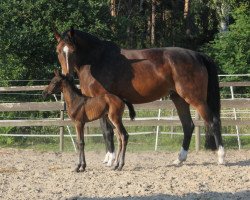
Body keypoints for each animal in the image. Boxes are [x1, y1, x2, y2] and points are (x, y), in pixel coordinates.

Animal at [53, 27, 226, 166]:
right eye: (58, 51)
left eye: (73, 50)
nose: (67, 76)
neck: (97, 59)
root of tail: (197, 55)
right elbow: (105, 131)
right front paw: (108, 158)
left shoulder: (101, 99)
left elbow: (107, 131)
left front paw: (110, 159)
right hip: (179, 98)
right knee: (188, 125)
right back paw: (179, 159)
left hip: (195, 98)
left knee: (213, 121)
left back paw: (221, 158)